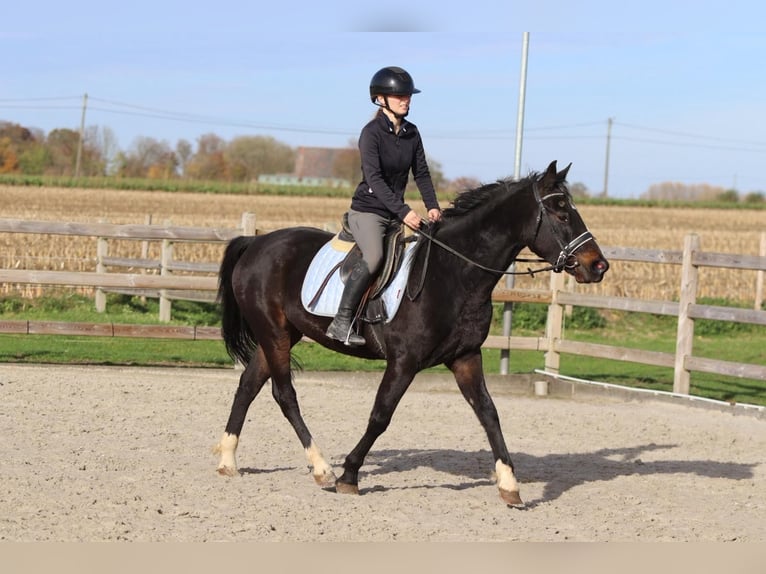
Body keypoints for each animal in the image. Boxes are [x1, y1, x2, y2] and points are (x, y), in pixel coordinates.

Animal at [213, 160, 609, 506]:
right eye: (561, 213)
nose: (599, 266)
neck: (454, 273)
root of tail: (256, 243)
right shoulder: (404, 362)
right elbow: (380, 415)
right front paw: (349, 476)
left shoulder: (465, 358)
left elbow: (489, 414)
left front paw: (510, 485)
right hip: (275, 333)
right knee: (284, 394)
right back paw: (322, 469)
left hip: (281, 335)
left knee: (248, 385)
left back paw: (228, 460)